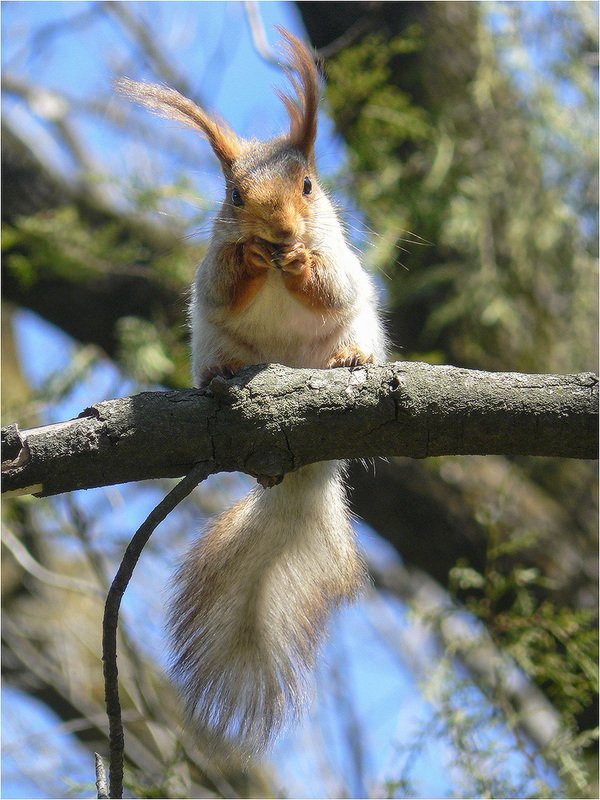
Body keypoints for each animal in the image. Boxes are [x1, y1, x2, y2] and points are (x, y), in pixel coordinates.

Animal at [117, 27, 386, 756]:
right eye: (235, 197)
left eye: (309, 185)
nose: (280, 233)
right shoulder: (209, 278)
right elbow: (223, 282)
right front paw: (250, 258)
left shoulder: (344, 268)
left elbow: (331, 287)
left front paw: (297, 264)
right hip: (213, 344)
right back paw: (218, 376)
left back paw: (350, 357)